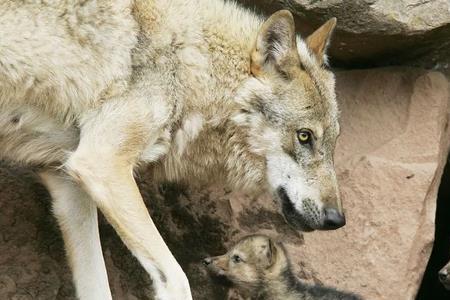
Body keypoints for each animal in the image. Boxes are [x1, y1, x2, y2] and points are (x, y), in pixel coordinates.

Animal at [0, 0, 344, 300]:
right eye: (304, 136)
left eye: (333, 142)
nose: (337, 219)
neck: (189, 63)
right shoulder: (101, 163)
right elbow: (177, 280)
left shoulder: (69, 186)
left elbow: (97, 288)